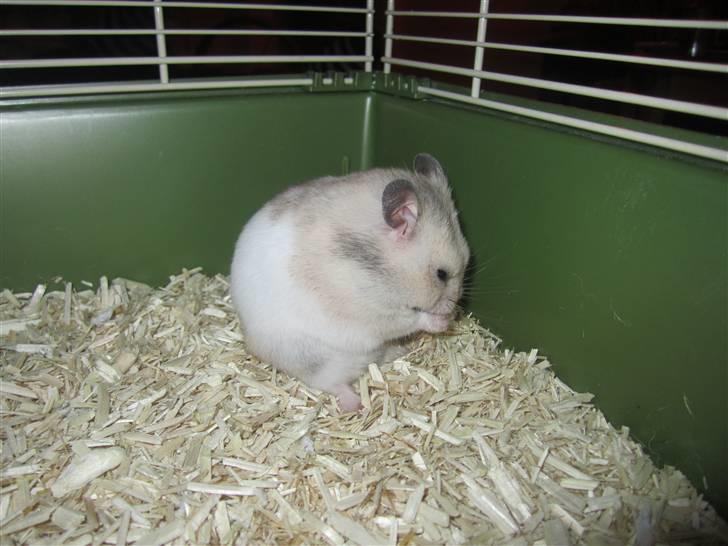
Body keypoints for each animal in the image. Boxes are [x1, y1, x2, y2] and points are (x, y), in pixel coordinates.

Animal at [230, 154, 470, 412]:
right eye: (441, 274)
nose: (454, 310)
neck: (374, 272)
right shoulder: (378, 315)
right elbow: (414, 319)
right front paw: (443, 321)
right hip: (315, 359)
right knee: (331, 383)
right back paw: (356, 405)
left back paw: (399, 351)